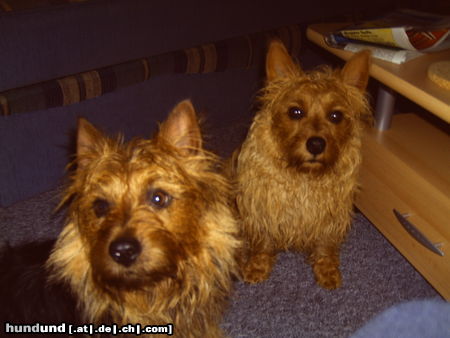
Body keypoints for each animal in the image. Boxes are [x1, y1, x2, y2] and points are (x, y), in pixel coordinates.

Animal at [232, 39, 372, 288]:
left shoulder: (330, 215)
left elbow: (325, 245)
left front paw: (326, 269)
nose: (316, 144)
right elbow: (262, 244)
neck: (304, 176)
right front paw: (257, 266)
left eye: (336, 116)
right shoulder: (261, 210)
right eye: (295, 112)